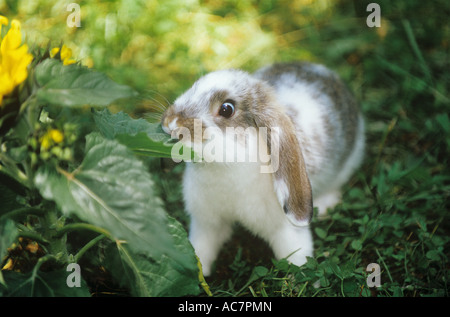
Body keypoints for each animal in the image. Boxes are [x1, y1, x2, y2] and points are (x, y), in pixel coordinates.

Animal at [160, 61, 364, 274]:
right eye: (194, 86)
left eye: (226, 109)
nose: (171, 122)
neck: (225, 170)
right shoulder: (206, 224)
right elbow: (201, 250)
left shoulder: (286, 229)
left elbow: (296, 254)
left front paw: (299, 273)